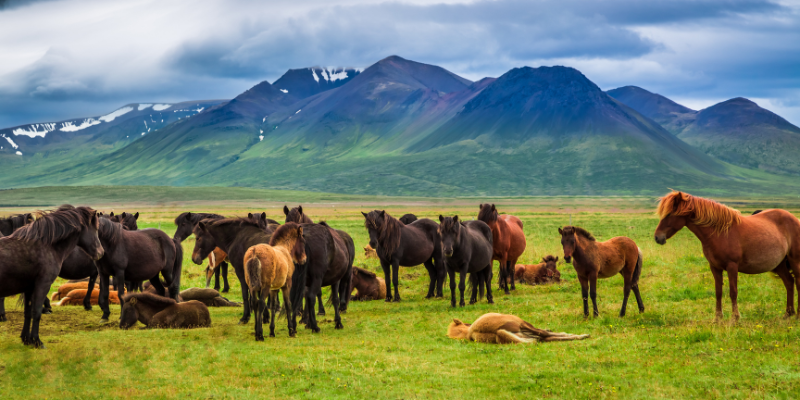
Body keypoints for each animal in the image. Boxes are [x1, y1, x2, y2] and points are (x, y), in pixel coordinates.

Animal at [0, 206, 103, 346]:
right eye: (96, 229)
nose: (101, 253)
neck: (46, 245)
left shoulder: (29, 288)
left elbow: (28, 312)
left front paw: (26, 340)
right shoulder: (42, 285)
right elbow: (37, 312)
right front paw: (37, 341)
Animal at [652, 191, 800, 322]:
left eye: (669, 214)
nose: (657, 237)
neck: (720, 232)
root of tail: (794, 219)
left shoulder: (732, 266)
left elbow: (733, 292)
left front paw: (735, 318)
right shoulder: (715, 267)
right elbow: (718, 292)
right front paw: (717, 318)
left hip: (795, 261)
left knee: (797, 282)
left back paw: (797, 315)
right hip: (779, 264)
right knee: (789, 282)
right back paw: (788, 313)